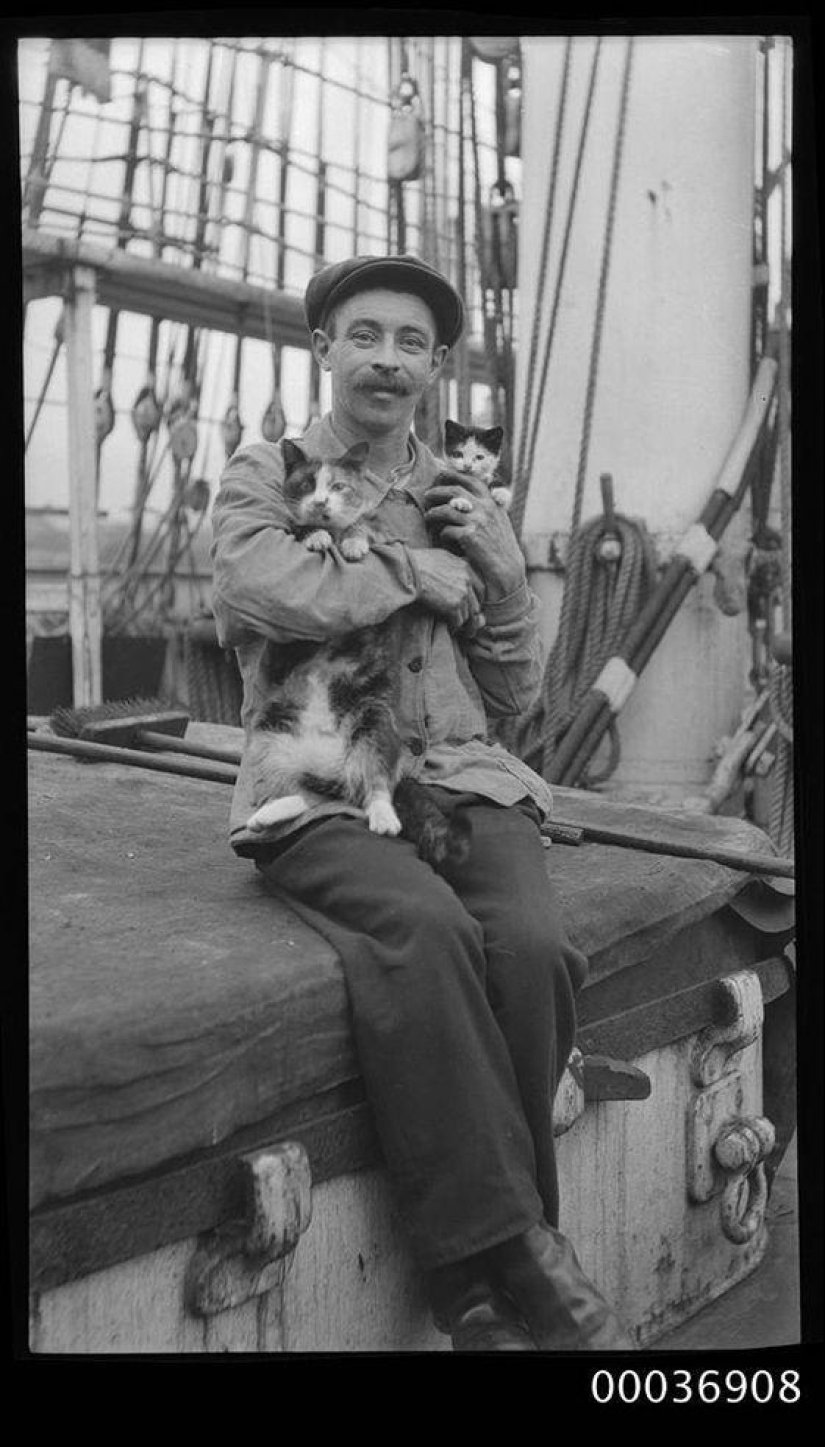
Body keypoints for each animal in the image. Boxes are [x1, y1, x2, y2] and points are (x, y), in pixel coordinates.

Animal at [243, 434, 468, 873]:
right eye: (306, 484)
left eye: (338, 486)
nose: (320, 504)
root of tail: (331, 768)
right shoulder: (289, 527)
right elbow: (298, 528)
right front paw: (316, 534)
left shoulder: (373, 527)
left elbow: (364, 527)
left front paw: (353, 543)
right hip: (270, 734)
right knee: (297, 794)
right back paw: (268, 813)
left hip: (374, 728)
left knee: (375, 787)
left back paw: (384, 818)